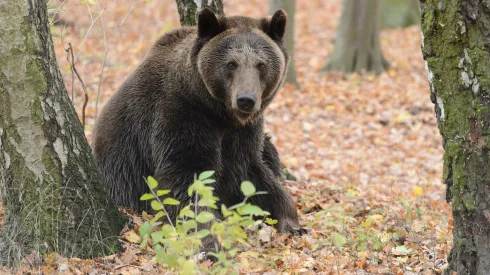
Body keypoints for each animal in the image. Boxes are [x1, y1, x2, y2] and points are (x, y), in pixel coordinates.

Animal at [92, 8, 302, 250]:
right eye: (231, 64)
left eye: (261, 64)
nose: (246, 100)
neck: (219, 113)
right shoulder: (181, 116)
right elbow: (187, 178)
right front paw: (209, 241)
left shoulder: (244, 133)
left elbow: (254, 175)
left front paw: (291, 222)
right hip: (120, 172)